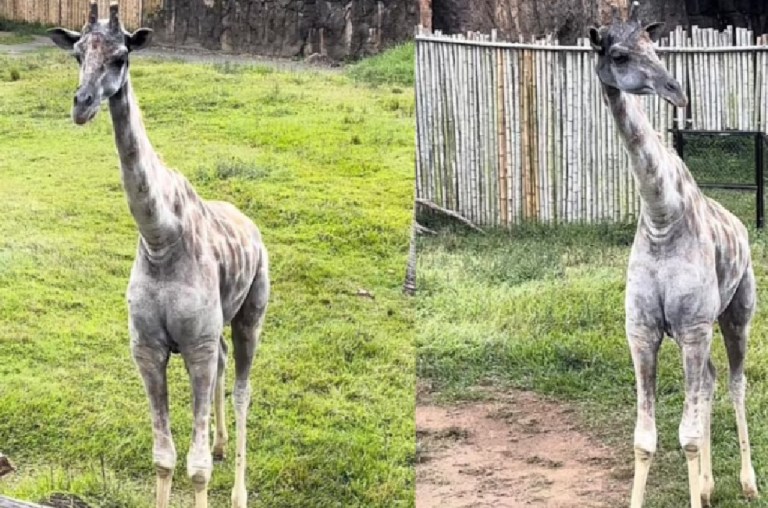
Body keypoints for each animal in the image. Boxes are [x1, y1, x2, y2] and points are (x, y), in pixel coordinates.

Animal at [48, 3, 269, 508]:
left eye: (121, 57)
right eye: (76, 54)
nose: (82, 104)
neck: (160, 236)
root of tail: (251, 225)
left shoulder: (196, 345)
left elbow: (197, 467)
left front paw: (214, 471)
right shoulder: (147, 348)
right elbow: (164, 457)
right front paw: (203, 450)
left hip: (252, 311)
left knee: (243, 388)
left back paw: (239, 491)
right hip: (218, 328)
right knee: (225, 368)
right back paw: (221, 443)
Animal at [589, 3, 758, 507]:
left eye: (656, 49)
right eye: (620, 55)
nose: (677, 92)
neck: (662, 218)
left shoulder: (693, 327)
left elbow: (687, 436)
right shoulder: (643, 332)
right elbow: (646, 438)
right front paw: (696, 487)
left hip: (737, 314)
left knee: (736, 383)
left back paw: (747, 481)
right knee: (709, 384)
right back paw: (708, 484)